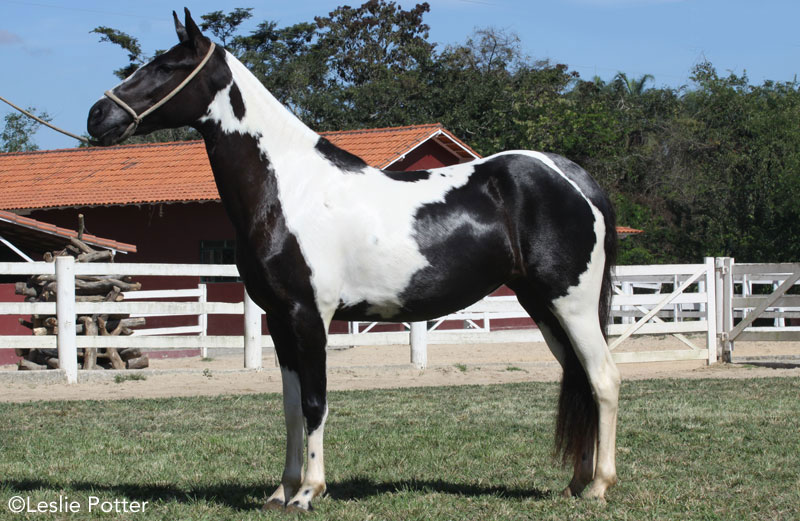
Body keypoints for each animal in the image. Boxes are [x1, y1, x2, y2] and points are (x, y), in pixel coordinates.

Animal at [87, 8, 620, 512]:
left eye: (167, 66)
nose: (97, 115)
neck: (288, 188)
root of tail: (574, 179)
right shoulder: (279, 319)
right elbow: (290, 406)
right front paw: (281, 491)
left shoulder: (309, 315)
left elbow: (315, 403)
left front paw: (309, 492)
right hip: (542, 306)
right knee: (579, 378)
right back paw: (575, 484)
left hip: (571, 304)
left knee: (603, 378)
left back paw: (599, 486)